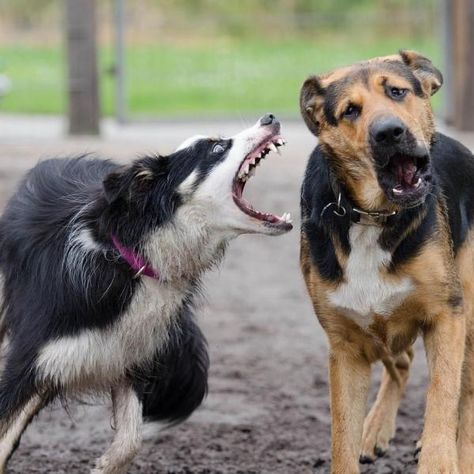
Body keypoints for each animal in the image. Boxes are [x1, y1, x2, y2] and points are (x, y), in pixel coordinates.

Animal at [0, 114, 292, 470]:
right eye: (217, 147)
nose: (270, 117)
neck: (134, 258)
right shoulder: (32, 361)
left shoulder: (129, 355)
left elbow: (130, 440)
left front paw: (103, 465)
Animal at [300, 50, 474, 472]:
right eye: (349, 110)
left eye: (397, 91)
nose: (389, 133)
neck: (371, 216)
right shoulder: (346, 346)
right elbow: (342, 438)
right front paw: (360, 435)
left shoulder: (447, 315)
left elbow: (443, 395)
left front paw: (440, 458)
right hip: (380, 333)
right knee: (404, 362)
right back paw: (375, 429)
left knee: (466, 391)